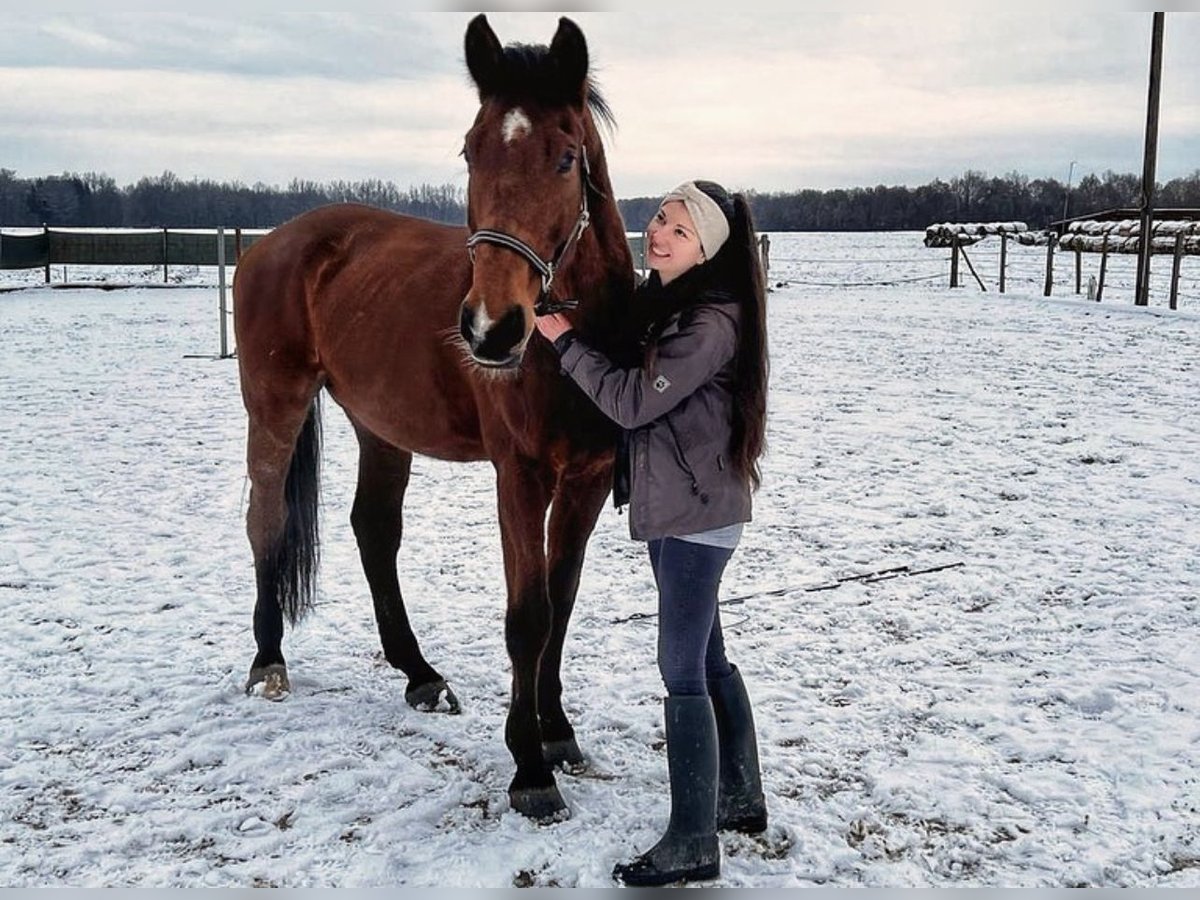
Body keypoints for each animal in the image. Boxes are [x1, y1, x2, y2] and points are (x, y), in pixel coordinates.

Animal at [228, 12, 633, 825]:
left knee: (373, 530)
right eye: (471, 149)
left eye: (565, 157)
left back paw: (418, 672)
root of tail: (273, 243)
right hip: (274, 405)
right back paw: (268, 661)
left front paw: (558, 733)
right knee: (267, 522)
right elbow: (528, 615)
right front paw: (529, 768)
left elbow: (563, 603)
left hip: (380, 426)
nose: (491, 329)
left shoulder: (588, 480)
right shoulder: (521, 476)